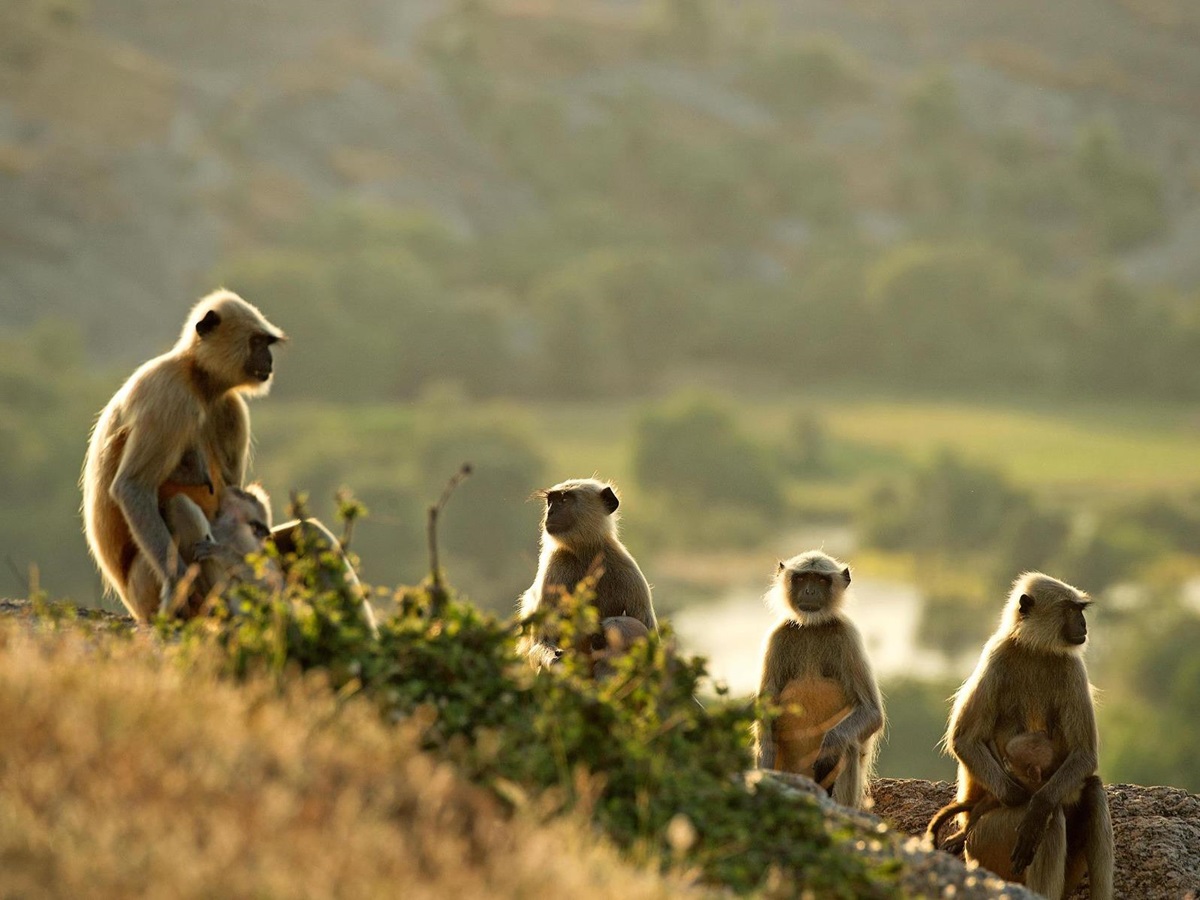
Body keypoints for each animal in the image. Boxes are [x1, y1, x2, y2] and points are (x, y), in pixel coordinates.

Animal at [82, 290, 285, 622]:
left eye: (267, 344)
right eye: (257, 342)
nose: (269, 360)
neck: (199, 380)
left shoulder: (232, 407)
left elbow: (232, 491)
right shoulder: (168, 393)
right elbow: (132, 487)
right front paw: (177, 584)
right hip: (145, 584)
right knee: (181, 508)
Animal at [518, 478, 656, 667]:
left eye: (564, 500)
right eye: (551, 501)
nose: (550, 512)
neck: (586, 553)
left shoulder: (630, 573)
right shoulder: (555, 565)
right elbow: (541, 644)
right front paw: (557, 658)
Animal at [754, 551, 884, 810]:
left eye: (821, 580)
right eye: (802, 578)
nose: (810, 591)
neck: (812, 626)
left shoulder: (848, 635)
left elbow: (872, 713)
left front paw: (829, 751)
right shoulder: (777, 636)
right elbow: (767, 715)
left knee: (849, 744)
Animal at [941, 573, 1113, 900]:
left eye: (1080, 610)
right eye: (1071, 609)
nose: (1083, 625)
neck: (1037, 650)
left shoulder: (1072, 667)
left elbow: (1084, 755)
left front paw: (1037, 802)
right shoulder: (996, 655)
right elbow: (964, 739)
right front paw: (1022, 799)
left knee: (1091, 791)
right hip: (986, 841)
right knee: (1053, 819)